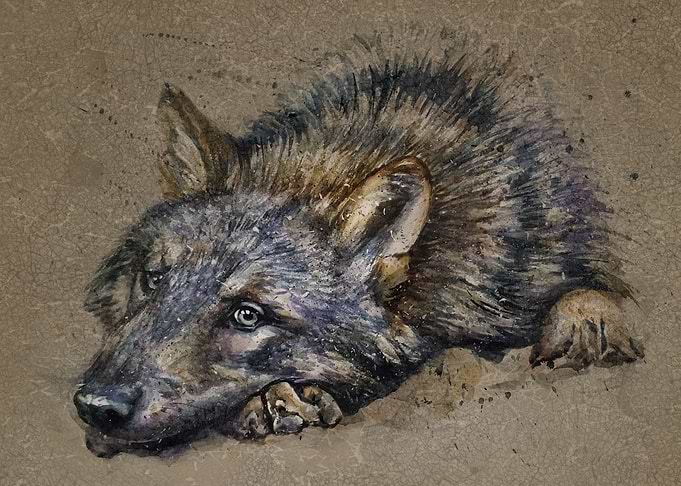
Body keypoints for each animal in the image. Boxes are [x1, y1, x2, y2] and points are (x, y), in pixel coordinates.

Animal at [74, 33, 643, 457]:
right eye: (152, 280)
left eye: (248, 315)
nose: (95, 406)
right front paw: (274, 399)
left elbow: (588, 293)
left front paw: (586, 325)